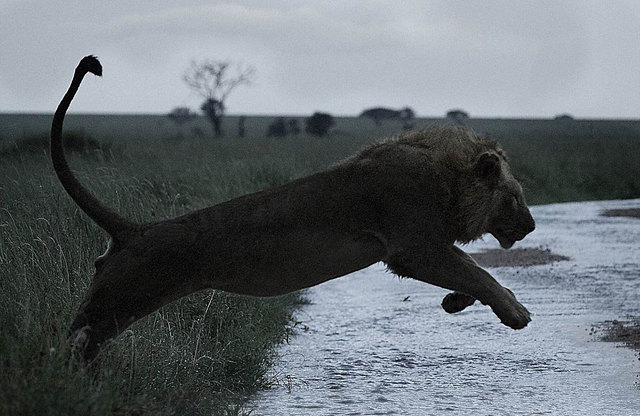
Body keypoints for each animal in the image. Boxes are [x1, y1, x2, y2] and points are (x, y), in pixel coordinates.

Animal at [52, 56, 536, 360]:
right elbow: (477, 271)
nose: (531, 227)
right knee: (77, 338)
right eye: (514, 198)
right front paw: (515, 311)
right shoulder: (413, 247)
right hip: (123, 297)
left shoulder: (425, 247)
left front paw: (457, 301)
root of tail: (134, 231)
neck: (448, 176)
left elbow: (470, 271)